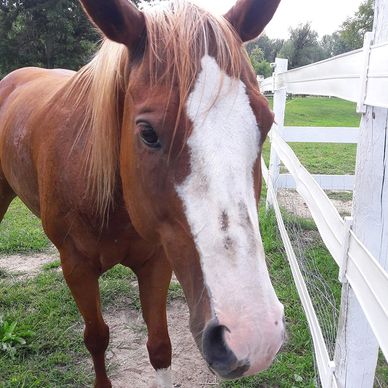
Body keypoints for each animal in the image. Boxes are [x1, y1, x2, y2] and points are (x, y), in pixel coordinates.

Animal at [0, 0, 284, 386]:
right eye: (147, 132)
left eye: (265, 124)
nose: (253, 335)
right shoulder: (76, 266)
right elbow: (96, 337)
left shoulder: (157, 262)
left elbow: (160, 346)